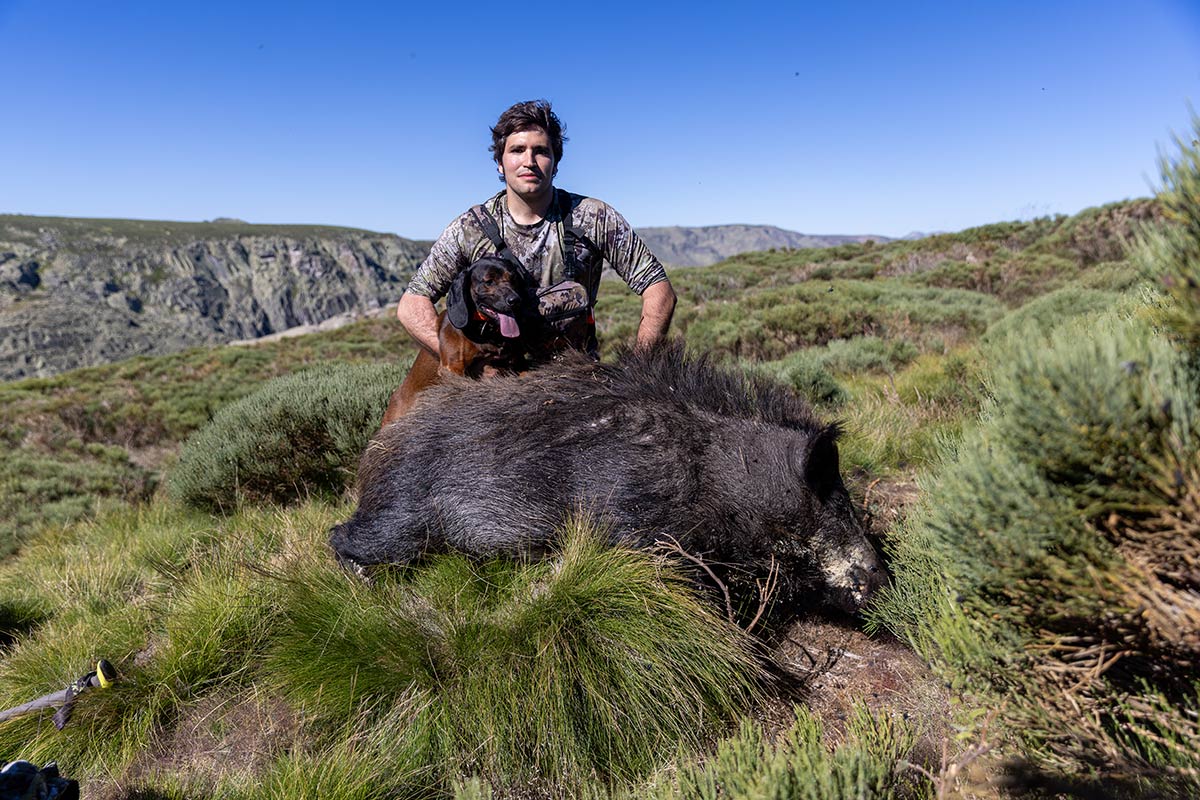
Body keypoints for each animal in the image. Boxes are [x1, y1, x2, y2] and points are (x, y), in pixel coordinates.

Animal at [381, 260, 537, 429]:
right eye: (489, 281)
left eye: (513, 278)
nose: (515, 300)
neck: (484, 329)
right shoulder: (452, 368)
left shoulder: (517, 362)